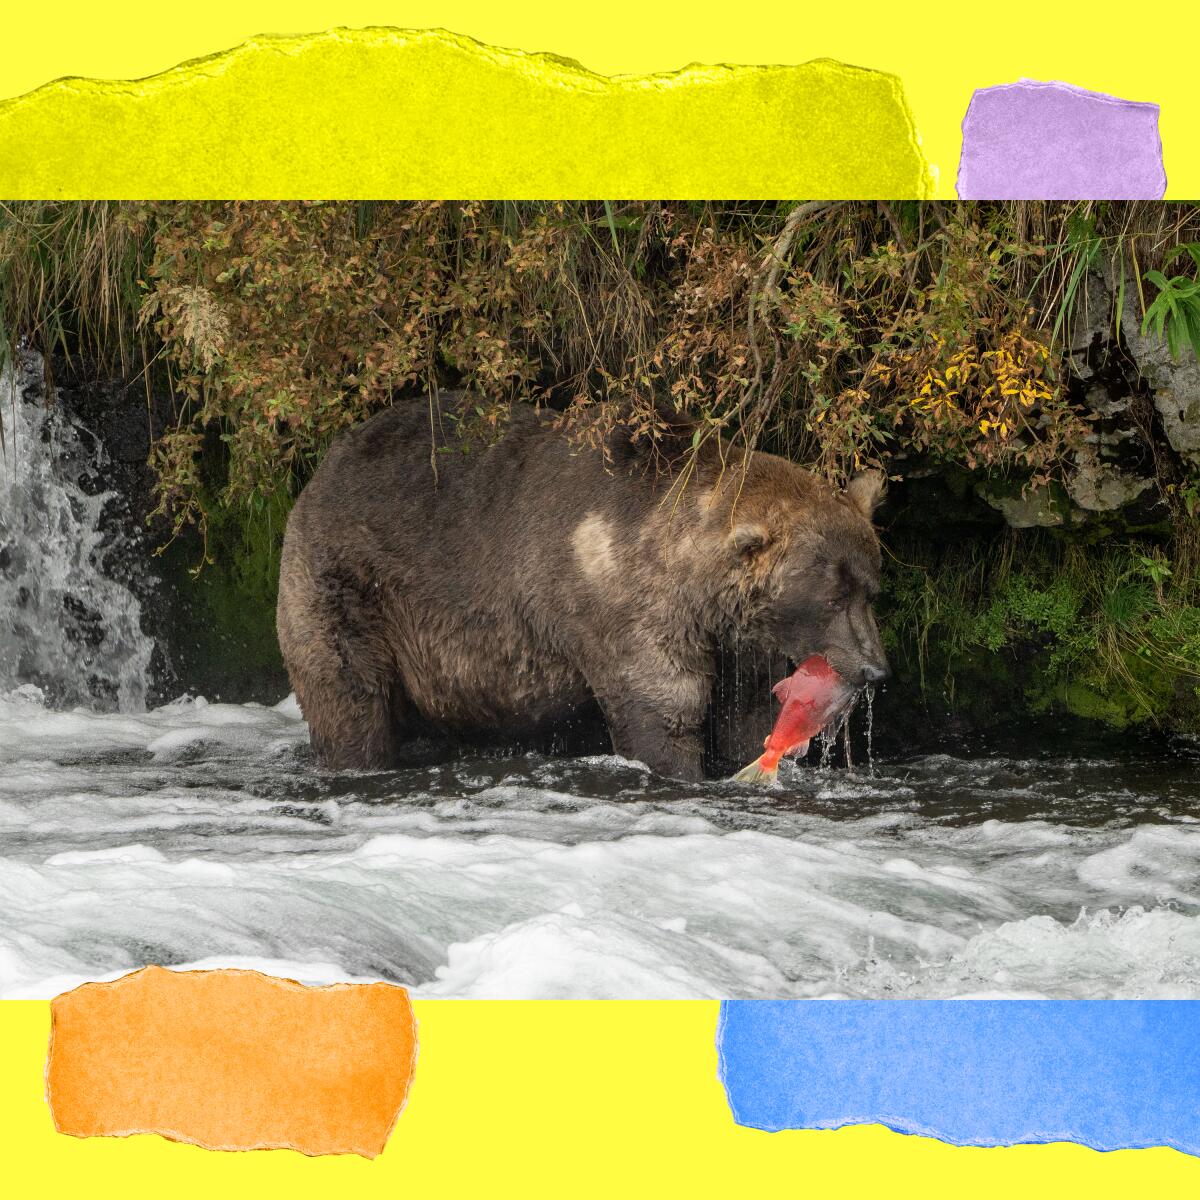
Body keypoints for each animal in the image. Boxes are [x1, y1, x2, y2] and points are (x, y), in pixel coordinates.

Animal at [276, 398, 888, 782]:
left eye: (869, 588)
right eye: (833, 596)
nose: (875, 668)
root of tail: (322, 468)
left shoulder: (737, 639)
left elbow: (747, 716)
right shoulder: (624, 607)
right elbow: (664, 710)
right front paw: (681, 768)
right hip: (349, 585)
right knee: (349, 697)